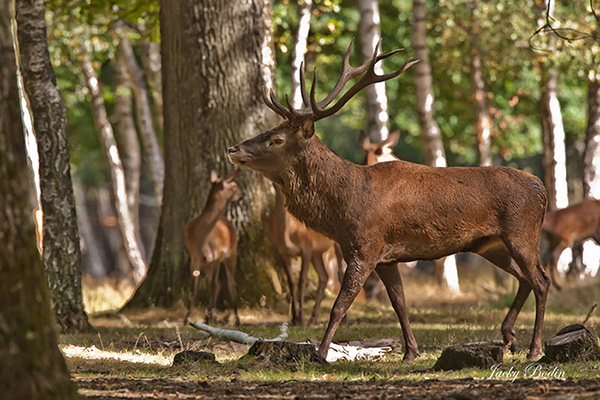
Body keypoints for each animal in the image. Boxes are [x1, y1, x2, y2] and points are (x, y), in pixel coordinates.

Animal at [185, 170, 246, 326]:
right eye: (234, 185)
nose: (243, 193)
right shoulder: (194, 256)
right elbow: (193, 288)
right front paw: (187, 318)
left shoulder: (216, 256)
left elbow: (213, 285)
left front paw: (209, 317)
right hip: (208, 263)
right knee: (217, 284)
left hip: (231, 253)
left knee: (230, 284)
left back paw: (236, 319)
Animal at [270, 184, 344, 324]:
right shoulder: (282, 253)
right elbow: (291, 282)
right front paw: (294, 318)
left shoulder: (307, 248)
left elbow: (302, 281)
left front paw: (301, 319)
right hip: (317, 253)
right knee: (324, 276)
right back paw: (313, 319)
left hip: (336, 245)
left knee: (340, 273)